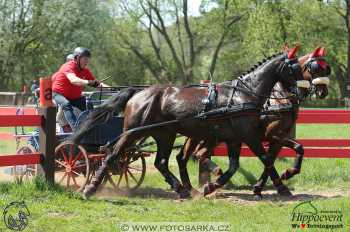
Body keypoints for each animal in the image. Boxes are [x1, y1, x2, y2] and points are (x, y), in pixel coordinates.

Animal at [81, 47, 304, 199]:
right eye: (295, 67)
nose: (299, 92)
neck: (244, 95)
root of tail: (138, 93)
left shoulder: (236, 139)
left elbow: (234, 166)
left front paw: (211, 186)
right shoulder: (250, 136)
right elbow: (266, 159)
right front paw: (283, 185)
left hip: (165, 135)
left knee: (161, 162)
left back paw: (182, 189)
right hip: (133, 132)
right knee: (112, 155)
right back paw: (90, 188)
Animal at [178, 46, 330, 198]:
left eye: (327, 69)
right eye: (315, 68)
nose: (323, 92)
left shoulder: (277, 138)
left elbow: (271, 159)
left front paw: (262, 187)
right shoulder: (270, 135)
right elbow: (288, 152)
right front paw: (285, 177)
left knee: (191, 155)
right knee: (195, 155)